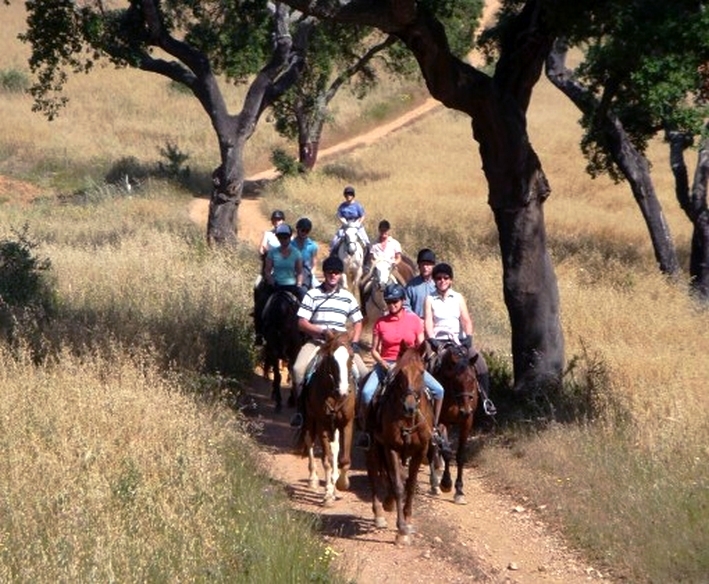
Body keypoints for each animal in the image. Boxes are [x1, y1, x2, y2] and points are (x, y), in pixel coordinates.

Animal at [298, 336, 356, 504]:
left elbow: (344, 458)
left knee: (335, 448)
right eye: (331, 358)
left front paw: (342, 484)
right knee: (309, 441)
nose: (343, 390)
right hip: (310, 418)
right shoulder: (322, 424)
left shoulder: (347, 423)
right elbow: (327, 460)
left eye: (351, 356)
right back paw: (313, 479)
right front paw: (328, 494)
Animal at [366, 342, 432, 544]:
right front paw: (401, 530)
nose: (409, 407)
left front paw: (408, 521)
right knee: (375, 475)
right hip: (373, 447)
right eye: (401, 372)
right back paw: (379, 514)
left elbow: (410, 485)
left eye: (421, 372)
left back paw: (388, 503)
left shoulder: (420, 450)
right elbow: (398, 485)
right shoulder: (391, 448)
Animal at [426, 340, 482, 504]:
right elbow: (446, 451)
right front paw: (446, 483)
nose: (465, 410)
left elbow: (460, 455)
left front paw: (459, 490)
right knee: (434, 448)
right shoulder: (441, 422)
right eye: (456, 380)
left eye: (473, 380)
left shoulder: (466, 422)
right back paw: (435, 482)